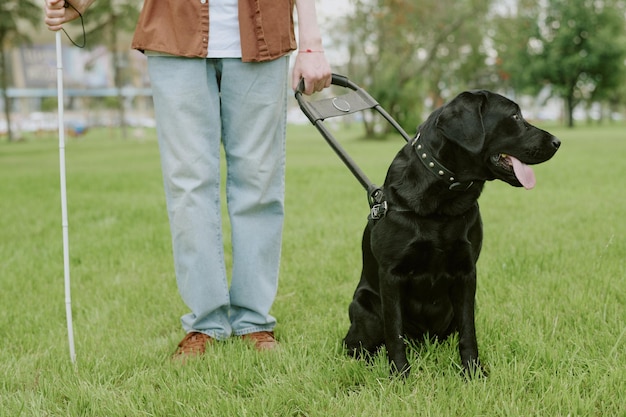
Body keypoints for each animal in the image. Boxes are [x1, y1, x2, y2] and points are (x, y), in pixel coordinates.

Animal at [342, 89, 560, 376]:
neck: (444, 200)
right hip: (365, 306)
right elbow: (394, 332)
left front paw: (472, 371)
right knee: (357, 345)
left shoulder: (467, 272)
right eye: (514, 116)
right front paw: (400, 375)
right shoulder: (390, 275)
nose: (558, 141)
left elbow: (469, 330)